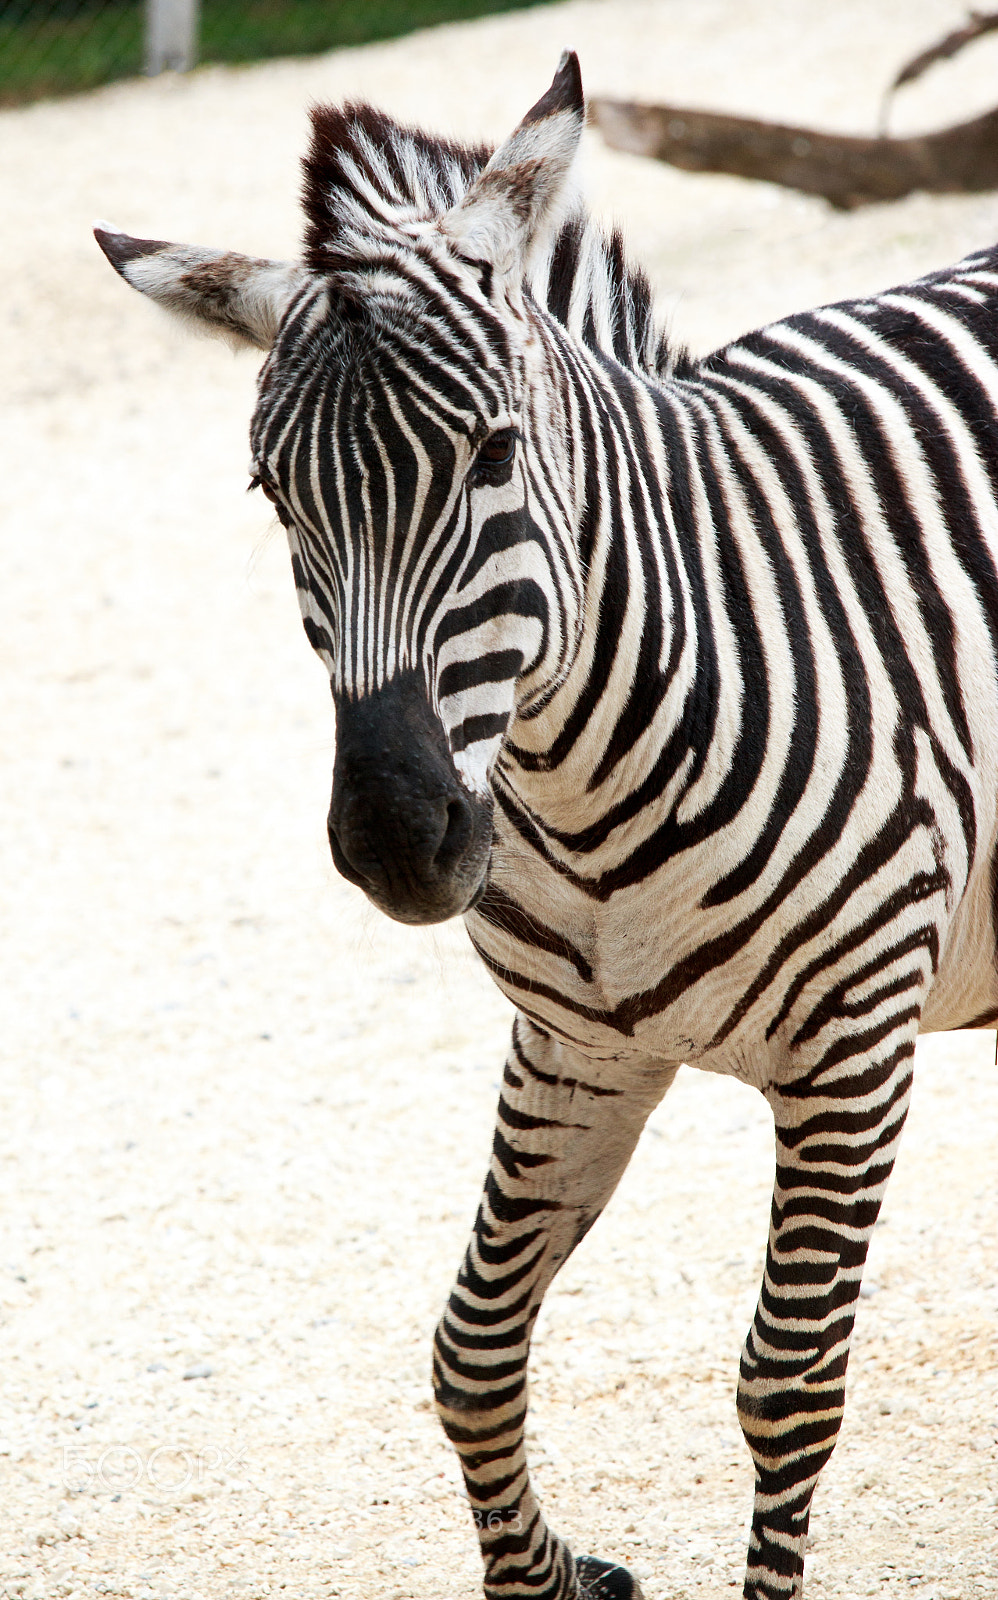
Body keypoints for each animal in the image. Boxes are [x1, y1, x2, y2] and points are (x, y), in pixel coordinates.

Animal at [94, 51, 997, 1600]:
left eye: (492, 457)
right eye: (275, 495)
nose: (396, 840)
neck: (591, 803)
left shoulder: (852, 1051)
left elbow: (786, 1386)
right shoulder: (578, 1053)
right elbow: (468, 1352)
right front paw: (555, 1573)